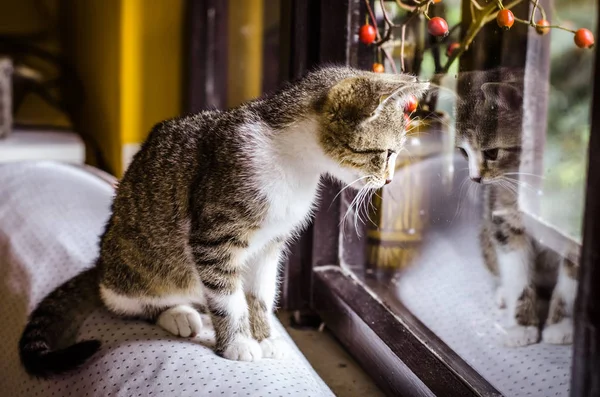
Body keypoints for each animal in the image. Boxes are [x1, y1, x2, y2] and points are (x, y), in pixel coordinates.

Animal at [17, 66, 432, 376]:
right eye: (387, 153)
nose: (389, 181)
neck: (294, 163)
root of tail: (101, 263)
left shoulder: (270, 245)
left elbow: (260, 293)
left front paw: (264, 336)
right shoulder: (214, 236)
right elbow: (228, 296)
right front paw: (238, 343)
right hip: (138, 266)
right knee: (129, 299)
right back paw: (178, 314)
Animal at [458, 69, 580, 346]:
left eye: (492, 153)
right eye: (463, 153)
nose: (474, 178)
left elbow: (570, 281)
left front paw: (561, 325)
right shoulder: (504, 220)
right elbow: (516, 270)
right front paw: (520, 326)